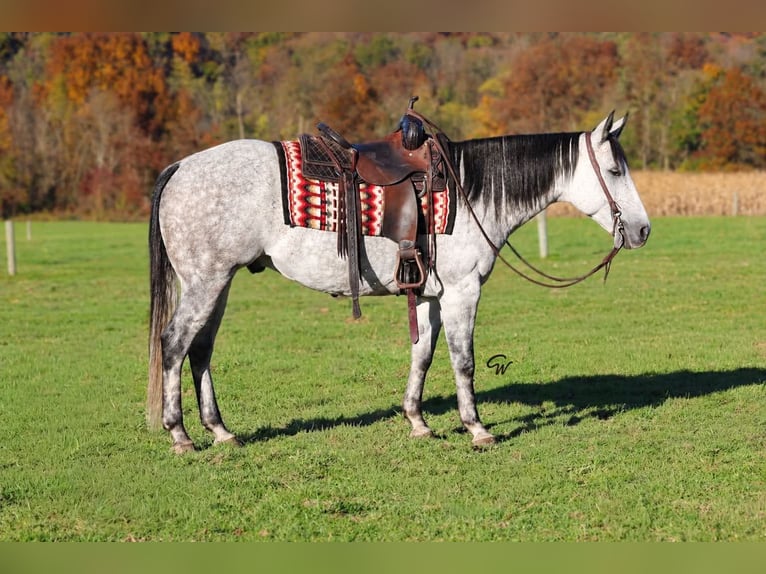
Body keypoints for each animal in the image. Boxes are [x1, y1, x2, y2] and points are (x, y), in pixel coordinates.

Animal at [147, 111, 650, 453]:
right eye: (615, 171)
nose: (643, 230)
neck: (471, 190)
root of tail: (180, 168)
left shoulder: (430, 295)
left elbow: (422, 355)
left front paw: (418, 422)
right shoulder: (463, 291)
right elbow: (463, 361)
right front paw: (477, 429)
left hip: (219, 283)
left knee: (200, 350)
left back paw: (220, 431)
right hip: (206, 282)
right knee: (174, 344)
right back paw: (180, 434)